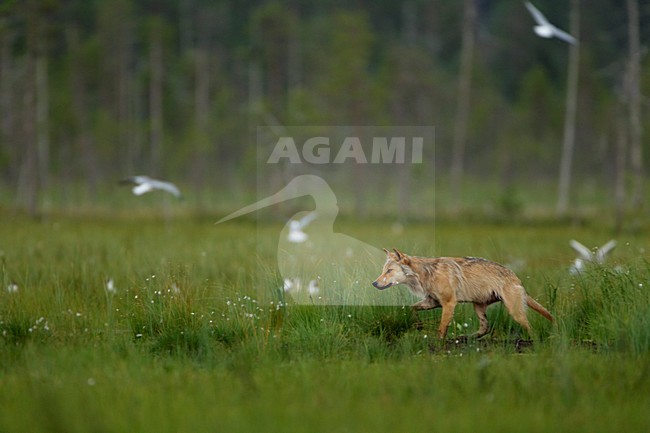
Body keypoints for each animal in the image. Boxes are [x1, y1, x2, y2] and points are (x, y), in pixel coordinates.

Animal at [372, 249, 553, 339]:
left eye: (389, 271)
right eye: (383, 270)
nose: (374, 283)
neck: (426, 274)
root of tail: (516, 278)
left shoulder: (449, 303)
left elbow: (441, 328)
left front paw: (439, 345)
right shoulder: (433, 302)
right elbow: (412, 308)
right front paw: (419, 325)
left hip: (514, 312)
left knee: (529, 328)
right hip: (478, 307)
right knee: (485, 328)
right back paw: (467, 338)